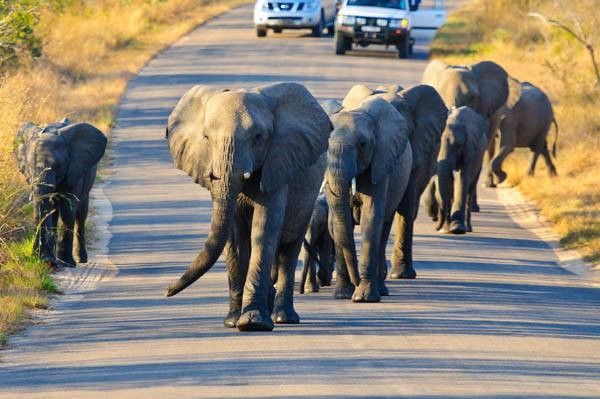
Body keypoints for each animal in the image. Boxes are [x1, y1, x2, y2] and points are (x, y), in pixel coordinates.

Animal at [13, 119, 108, 268]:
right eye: (30, 166)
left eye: (58, 166)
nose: (45, 261)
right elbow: (44, 209)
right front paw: (47, 261)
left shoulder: (74, 170)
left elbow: (68, 209)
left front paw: (65, 263)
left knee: (81, 215)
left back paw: (80, 259)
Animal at [163, 81, 332, 332]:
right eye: (206, 137)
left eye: (258, 137)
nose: (165, 290)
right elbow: (234, 237)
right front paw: (233, 321)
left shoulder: (277, 164)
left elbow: (264, 227)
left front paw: (254, 323)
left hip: (308, 199)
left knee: (289, 248)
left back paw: (283, 317)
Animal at [324, 95, 412, 304]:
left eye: (363, 144)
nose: (355, 280)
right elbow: (337, 224)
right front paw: (342, 295)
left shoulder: (380, 165)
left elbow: (371, 219)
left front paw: (363, 298)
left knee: (383, 229)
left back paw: (381, 290)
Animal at [424, 106, 490, 234]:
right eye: (436, 143)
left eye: (458, 146)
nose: (436, 228)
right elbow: (448, 180)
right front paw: (447, 229)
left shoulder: (469, 149)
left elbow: (462, 179)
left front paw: (457, 229)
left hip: (480, 159)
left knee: (470, 189)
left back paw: (468, 228)